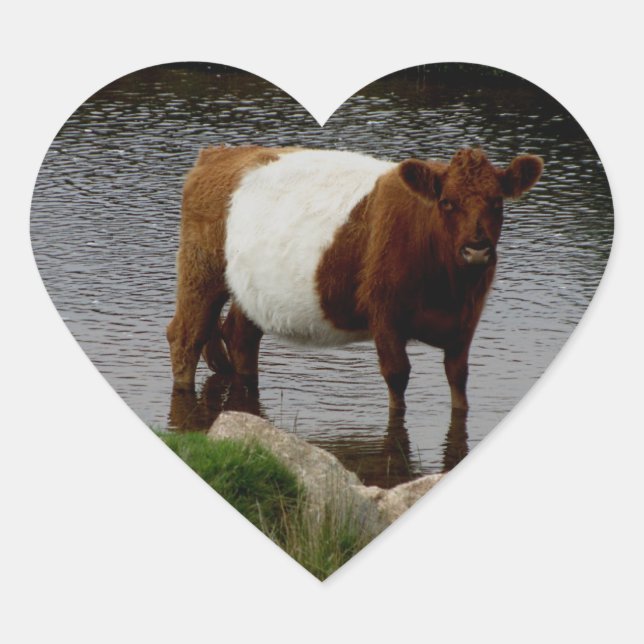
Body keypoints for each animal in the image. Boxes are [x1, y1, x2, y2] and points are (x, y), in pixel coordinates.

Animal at [167, 145, 543, 411]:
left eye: (497, 202)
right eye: (447, 203)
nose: (476, 250)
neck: (448, 290)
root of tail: (220, 153)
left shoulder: (467, 319)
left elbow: (458, 380)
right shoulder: (385, 314)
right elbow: (397, 379)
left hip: (250, 289)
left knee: (240, 336)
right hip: (201, 269)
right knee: (186, 335)